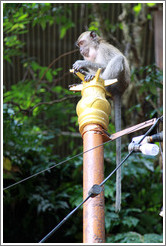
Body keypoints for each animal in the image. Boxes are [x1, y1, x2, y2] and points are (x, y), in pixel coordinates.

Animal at [72, 30, 131, 211]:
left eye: (81, 43)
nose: (80, 51)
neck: (95, 48)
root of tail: (121, 91)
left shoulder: (103, 51)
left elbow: (104, 63)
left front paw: (82, 64)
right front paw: (83, 69)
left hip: (118, 82)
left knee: (116, 61)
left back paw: (97, 78)